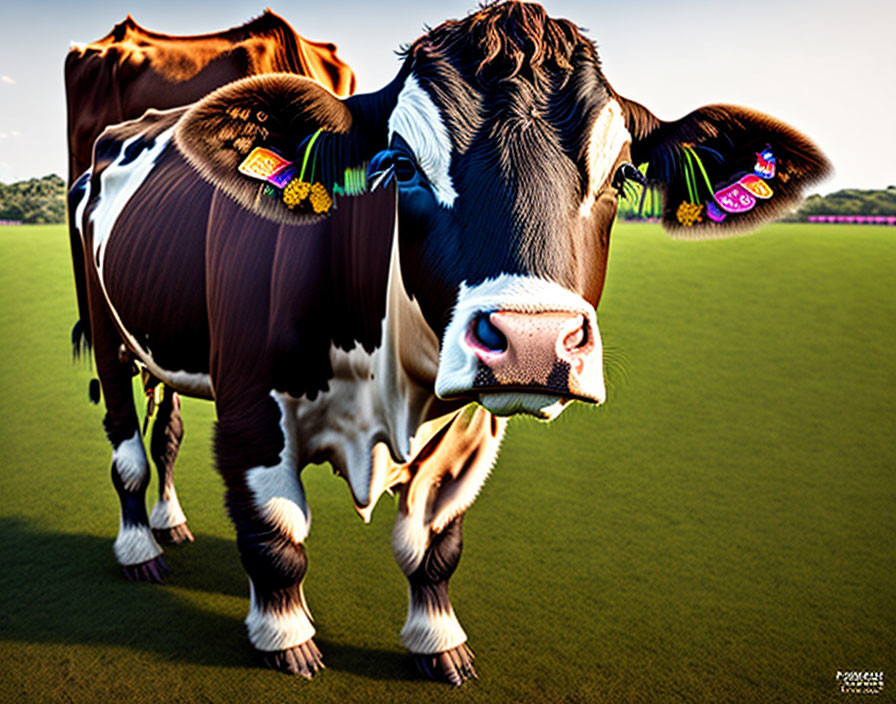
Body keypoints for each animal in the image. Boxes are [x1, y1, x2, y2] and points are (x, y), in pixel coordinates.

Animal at [66, 1, 828, 688]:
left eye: (621, 176)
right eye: (400, 165)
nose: (532, 341)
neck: (390, 381)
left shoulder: (469, 427)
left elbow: (435, 541)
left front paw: (439, 642)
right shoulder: (254, 409)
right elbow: (277, 536)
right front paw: (286, 639)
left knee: (166, 430)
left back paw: (171, 522)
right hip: (107, 334)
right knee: (127, 447)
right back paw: (139, 546)